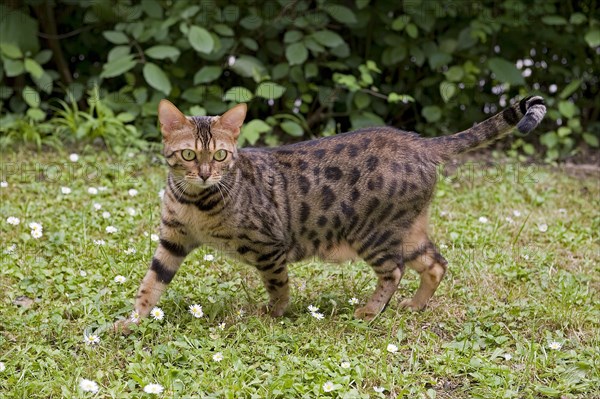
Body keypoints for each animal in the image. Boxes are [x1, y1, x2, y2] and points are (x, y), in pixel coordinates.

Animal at [113, 96, 548, 332]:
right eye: (189, 154)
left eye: (219, 155)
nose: (205, 173)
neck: (196, 202)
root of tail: (420, 142)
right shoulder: (172, 238)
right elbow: (150, 285)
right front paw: (130, 322)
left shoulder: (269, 246)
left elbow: (278, 286)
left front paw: (273, 315)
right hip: (408, 231)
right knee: (437, 262)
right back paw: (415, 305)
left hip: (373, 234)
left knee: (394, 271)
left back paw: (371, 311)